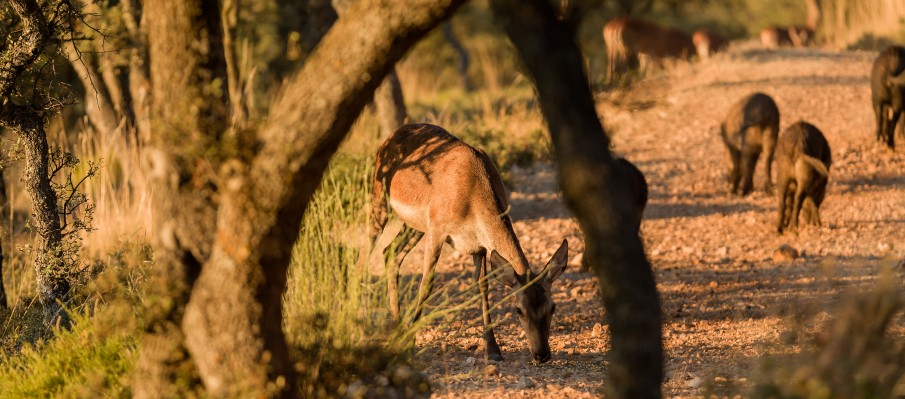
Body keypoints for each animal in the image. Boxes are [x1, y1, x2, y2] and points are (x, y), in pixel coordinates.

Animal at [368, 123, 564, 364]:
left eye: (552, 306)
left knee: (391, 251)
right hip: (380, 195)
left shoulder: (479, 246)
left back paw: (396, 326)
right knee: (367, 247)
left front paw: (493, 350)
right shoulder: (438, 228)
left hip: (415, 225)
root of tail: (389, 138)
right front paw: (409, 344)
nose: (542, 354)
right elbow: (427, 284)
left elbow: (483, 287)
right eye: (519, 310)